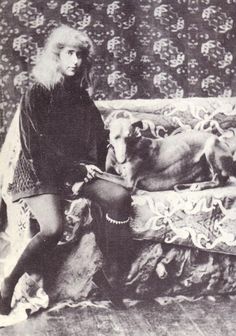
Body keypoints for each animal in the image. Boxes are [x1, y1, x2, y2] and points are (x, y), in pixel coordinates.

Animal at [95, 117, 236, 192]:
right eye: (116, 137)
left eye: (129, 137)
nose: (123, 160)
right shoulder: (111, 170)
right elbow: (104, 172)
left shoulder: (127, 181)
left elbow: (100, 174)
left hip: (211, 145)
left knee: (220, 180)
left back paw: (199, 185)